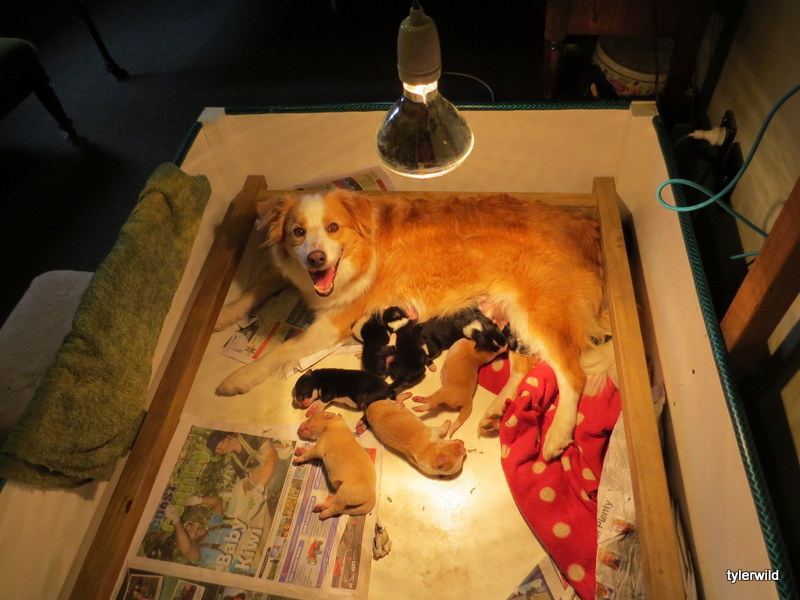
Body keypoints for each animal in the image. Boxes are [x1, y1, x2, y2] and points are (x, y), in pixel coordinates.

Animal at [215, 190, 608, 461]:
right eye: (297, 232)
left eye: (333, 228)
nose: (316, 258)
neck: (359, 251)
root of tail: (585, 228)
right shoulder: (294, 277)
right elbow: (258, 285)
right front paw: (225, 312)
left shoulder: (334, 320)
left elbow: (283, 348)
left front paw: (238, 378)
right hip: (511, 320)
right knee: (525, 367)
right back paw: (496, 412)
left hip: (537, 314)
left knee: (572, 375)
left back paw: (557, 436)